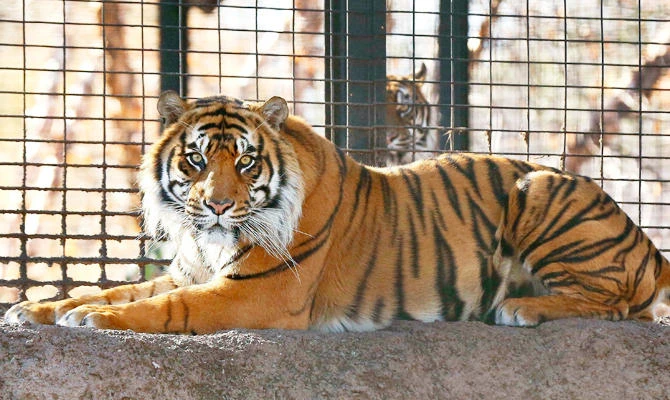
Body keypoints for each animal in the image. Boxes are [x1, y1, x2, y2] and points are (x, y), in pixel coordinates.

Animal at [5, 91, 669, 334]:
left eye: (245, 162)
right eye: (195, 159)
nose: (217, 206)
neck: (208, 242)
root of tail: (648, 246)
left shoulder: (257, 292)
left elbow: (166, 308)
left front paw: (91, 319)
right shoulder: (192, 269)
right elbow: (120, 289)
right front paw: (39, 307)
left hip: (540, 187)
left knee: (617, 304)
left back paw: (522, 307)